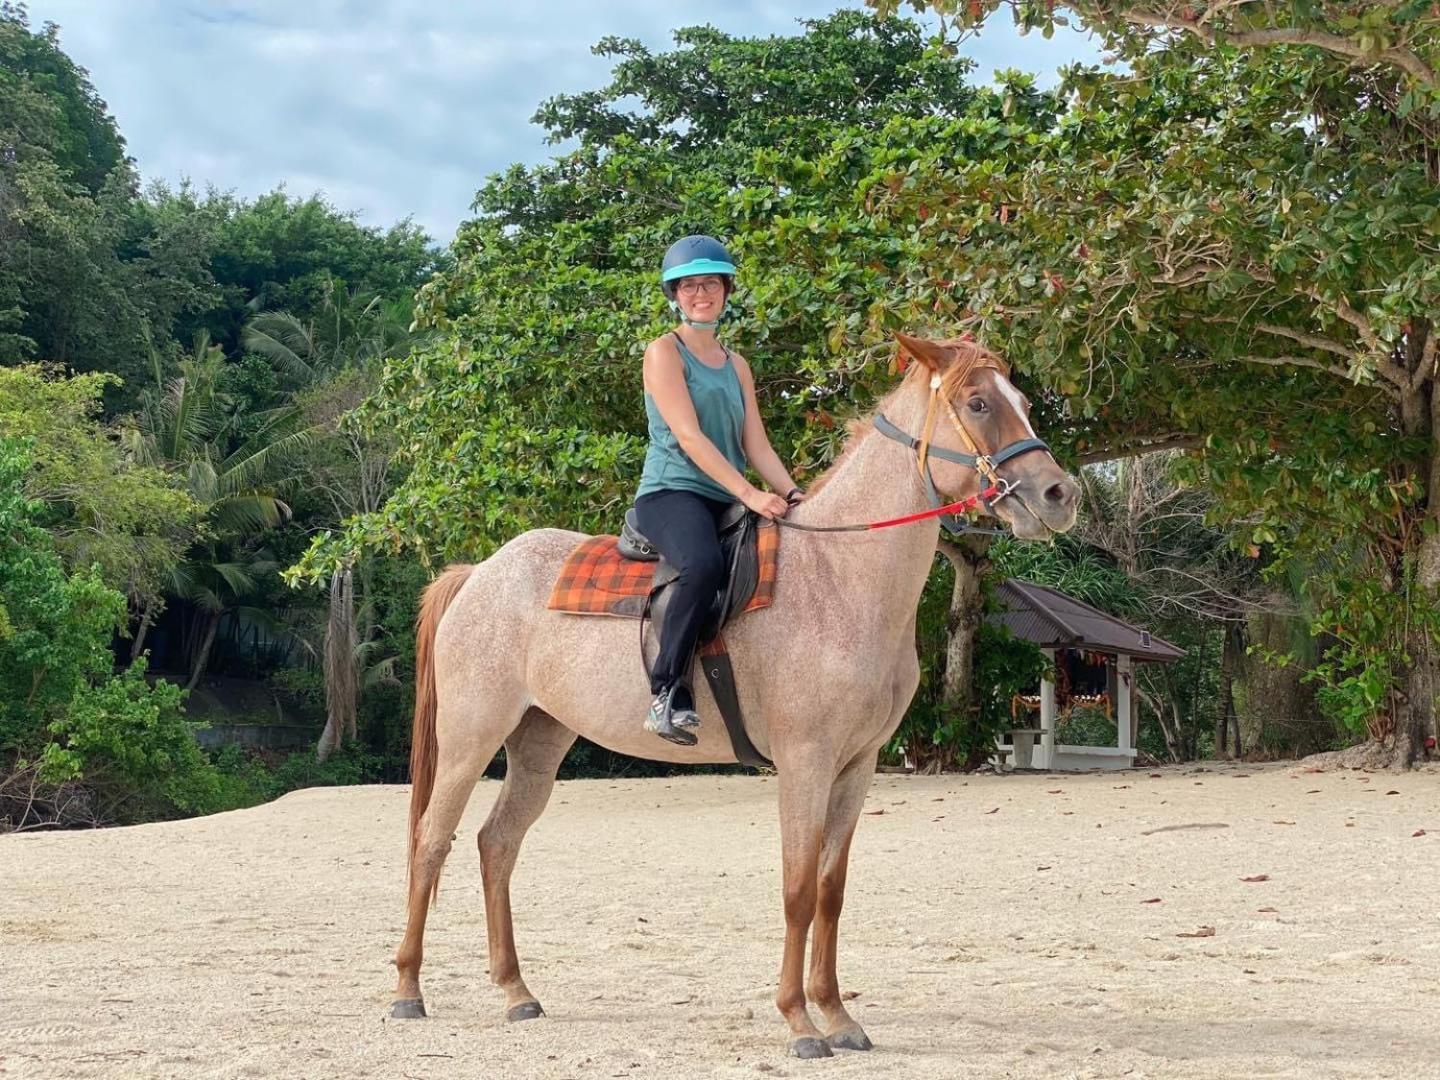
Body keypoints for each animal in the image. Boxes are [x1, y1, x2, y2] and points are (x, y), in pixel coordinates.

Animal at [394, 334, 1082, 1059]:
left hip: (539, 742)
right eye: (977, 403)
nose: (1061, 493)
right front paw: (800, 1022)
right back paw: (408, 989)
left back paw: (515, 992)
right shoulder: (805, 762)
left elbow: (831, 890)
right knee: (431, 841)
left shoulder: (857, 766)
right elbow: (798, 889)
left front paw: (838, 1015)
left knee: (497, 844)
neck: (838, 578)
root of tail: (480, 573)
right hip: (469, 739)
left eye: (1021, 401)